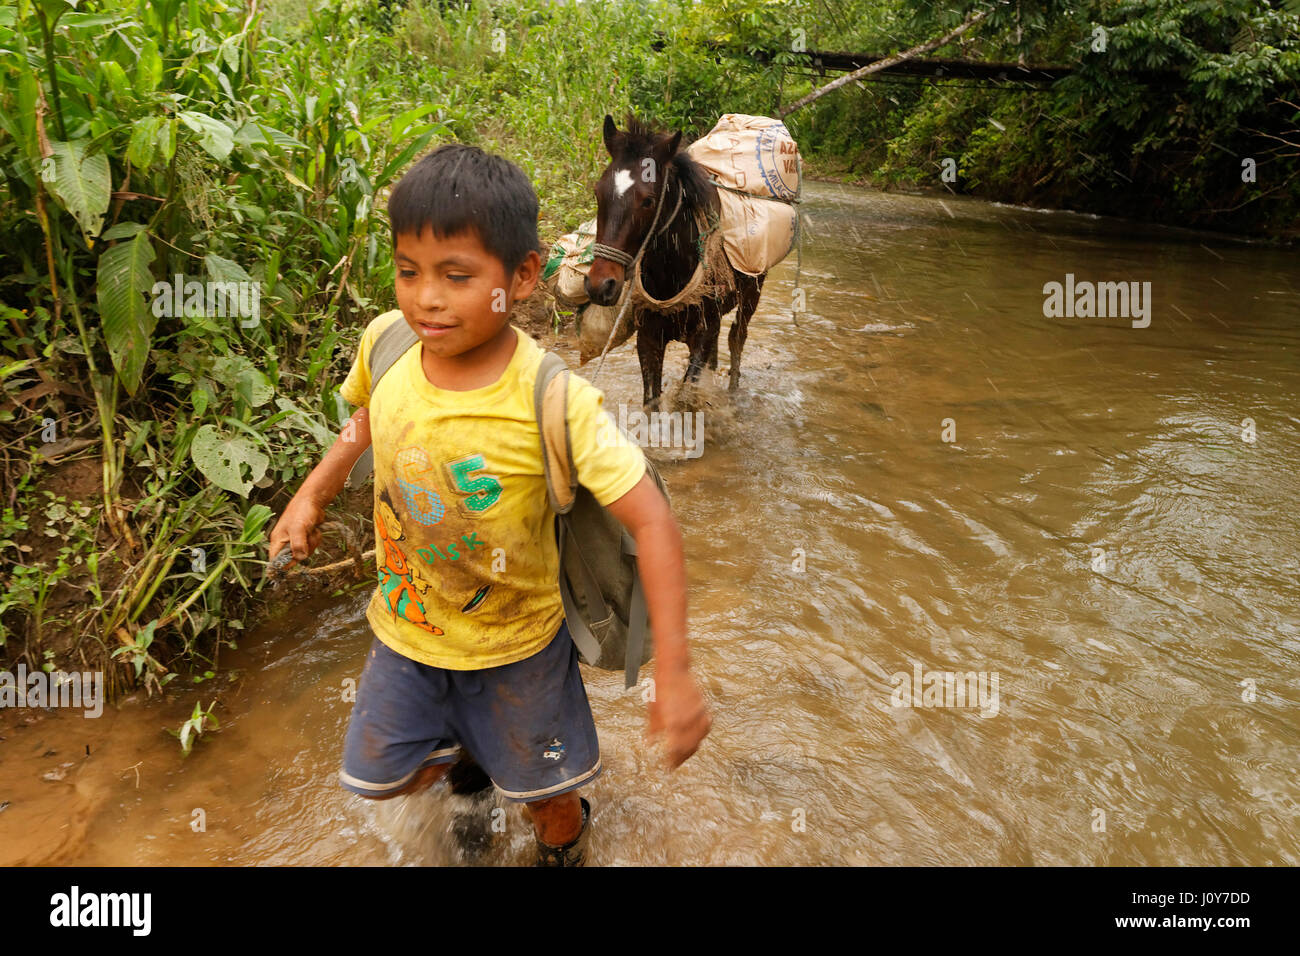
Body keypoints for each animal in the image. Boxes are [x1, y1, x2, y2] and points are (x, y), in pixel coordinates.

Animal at [587, 113, 764, 411]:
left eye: (648, 201)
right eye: (598, 192)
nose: (600, 285)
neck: (671, 273)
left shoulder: (701, 335)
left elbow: (685, 397)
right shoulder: (648, 338)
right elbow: (651, 403)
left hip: (753, 290)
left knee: (737, 338)